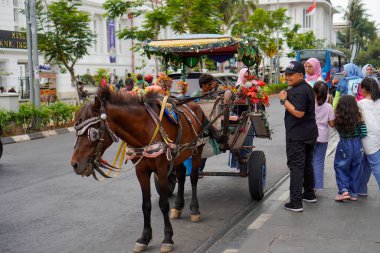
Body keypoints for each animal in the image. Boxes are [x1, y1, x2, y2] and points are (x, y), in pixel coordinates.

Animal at [70, 86, 209, 252]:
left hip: (197, 148)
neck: (144, 130)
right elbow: (146, 205)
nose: (75, 164)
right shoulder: (141, 172)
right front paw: (144, 238)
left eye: (93, 132)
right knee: (181, 175)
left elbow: (163, 204)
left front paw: (167, 238)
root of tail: (194, 104)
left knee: (193, 177)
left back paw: (194, 209)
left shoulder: (161, 170)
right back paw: (178, 207)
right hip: (179, 154)